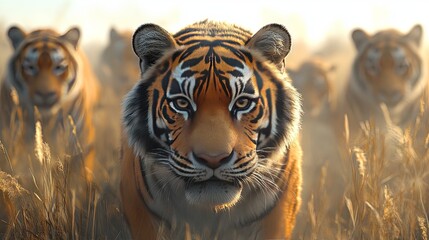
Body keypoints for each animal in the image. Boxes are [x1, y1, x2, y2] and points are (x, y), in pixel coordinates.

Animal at [0, 25, 99, 182]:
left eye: (59, 67)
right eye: (30, 67)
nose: (45, 94)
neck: (46, 119)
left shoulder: (80, 139)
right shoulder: (11, 134)